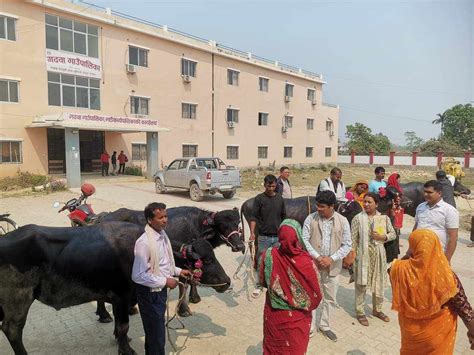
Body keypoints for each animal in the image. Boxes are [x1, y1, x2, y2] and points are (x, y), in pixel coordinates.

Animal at [0, 222, 230, 354]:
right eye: (206, 260)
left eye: (212, 254)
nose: (227, 281)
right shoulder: (121, 297)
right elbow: (123, 326)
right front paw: (126, 348)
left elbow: (121, 328)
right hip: (19, 301)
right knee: (12, 330)